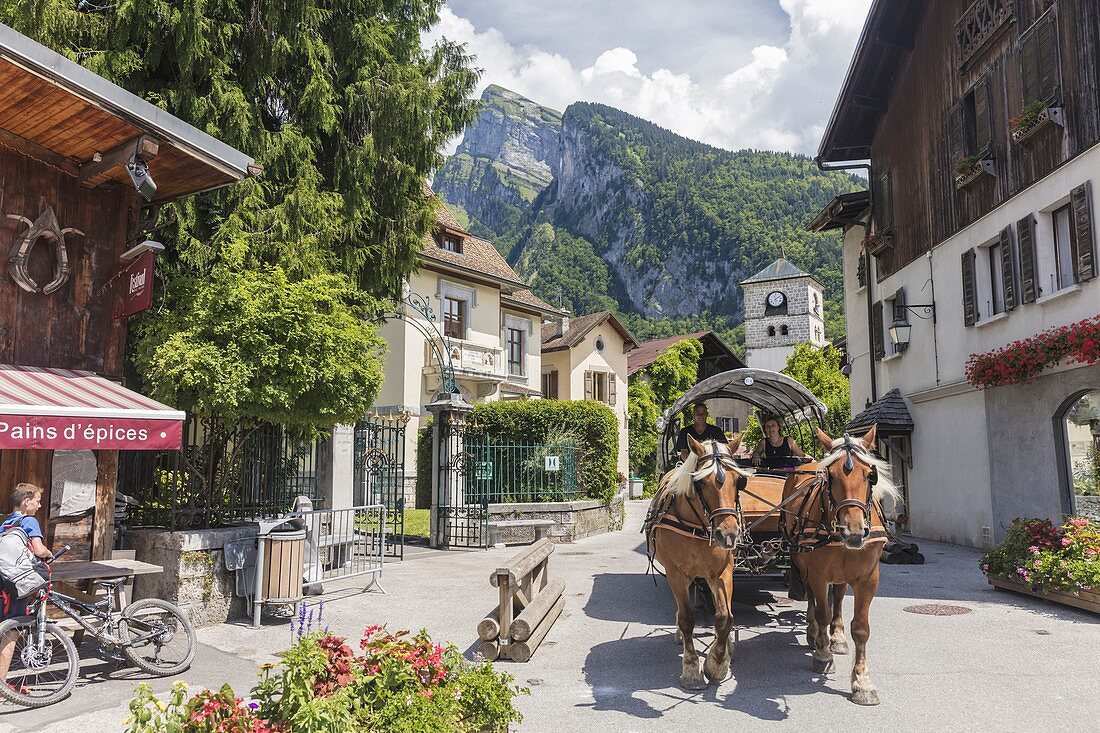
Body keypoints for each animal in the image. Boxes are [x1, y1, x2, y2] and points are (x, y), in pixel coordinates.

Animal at [642, 435, 748, 686]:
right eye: (703, 482)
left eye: (738, 481)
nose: (728, 534)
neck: (698, 525)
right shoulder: (675, 574)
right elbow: (687, 619)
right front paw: (691, 667)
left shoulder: (722, 572)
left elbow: (724, 617)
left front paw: (717, 662)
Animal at [778, 422, 897, 704]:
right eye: (830, 476)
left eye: (870, 475)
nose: (853, 532)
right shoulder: (818, 573)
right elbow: (822, 611)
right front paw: (823, 654)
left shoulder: (868, 578)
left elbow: (861, 628)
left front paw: (862, 681)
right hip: (803, 562)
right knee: (813, 598)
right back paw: (814, 635)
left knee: (840, 596)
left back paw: (838, 637)